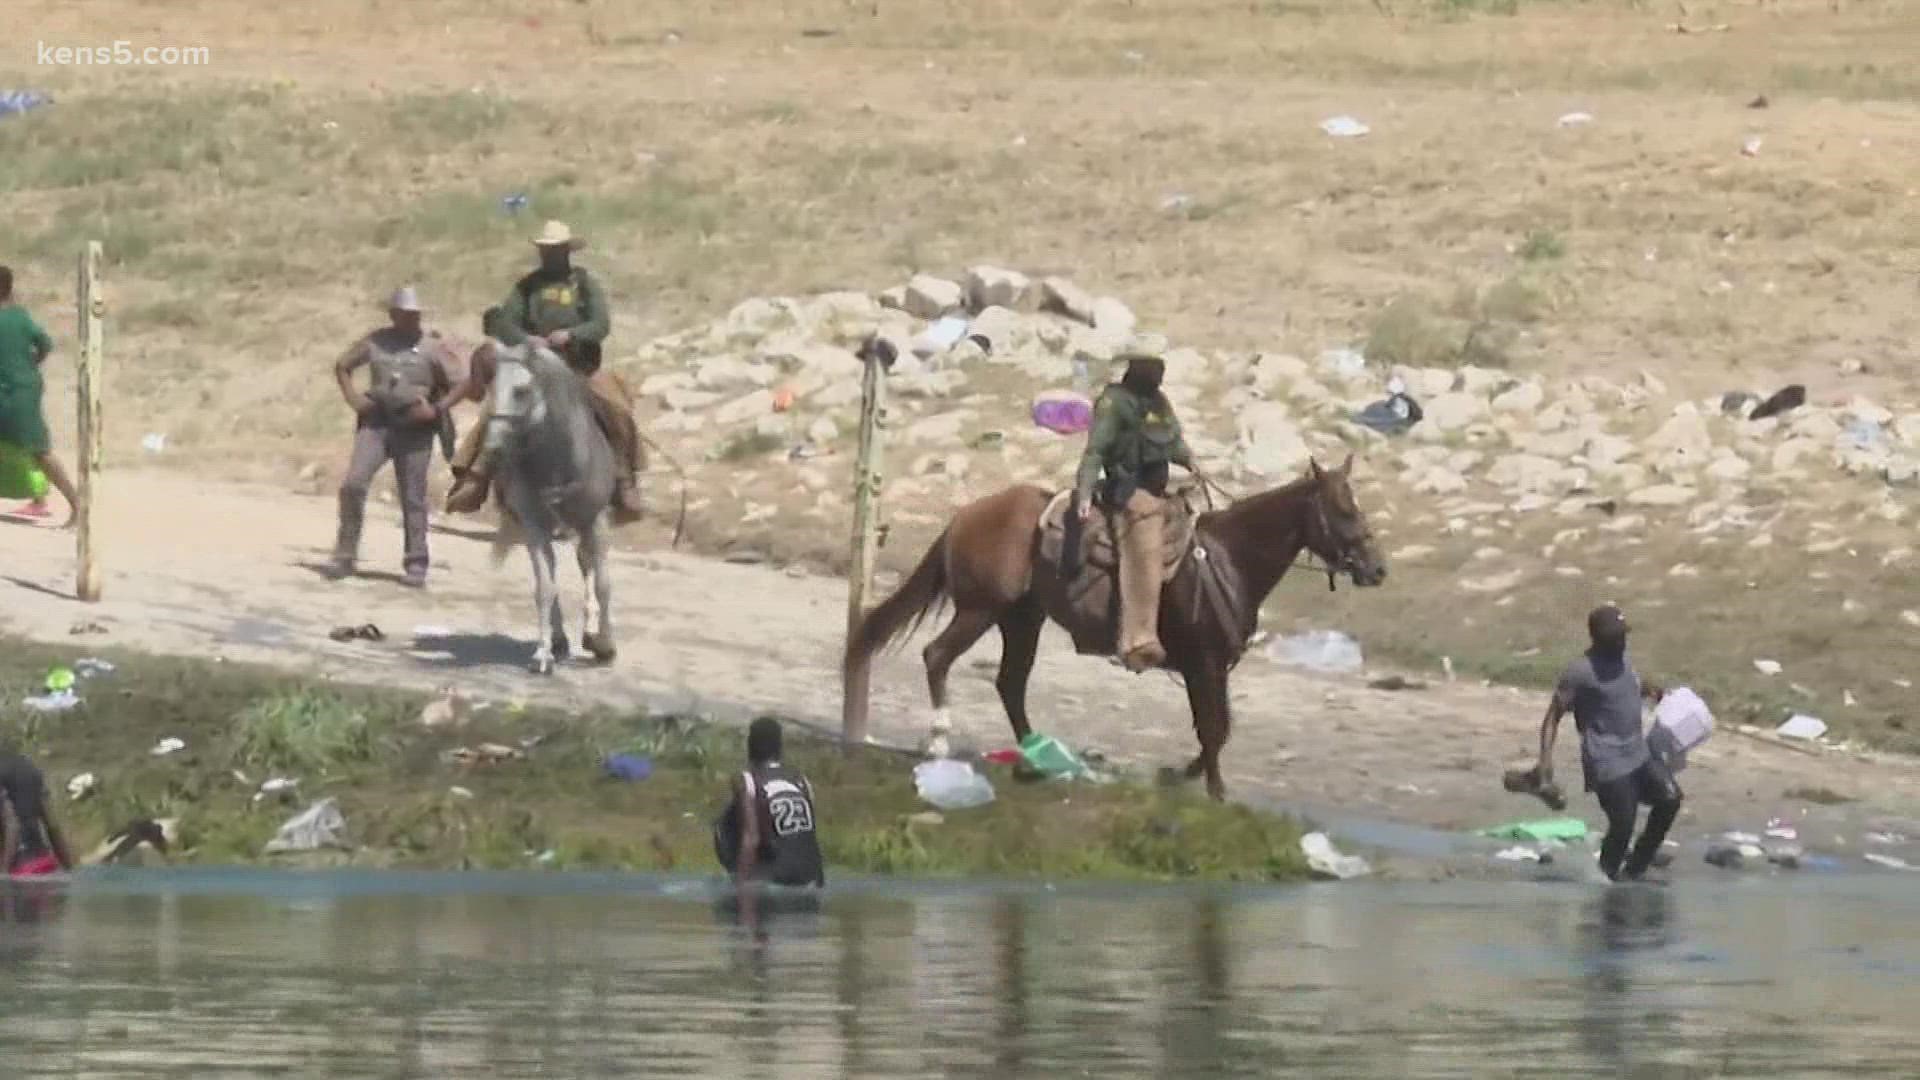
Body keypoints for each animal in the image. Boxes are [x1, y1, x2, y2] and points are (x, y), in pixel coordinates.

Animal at [487, 340, 614, 668]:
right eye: (491, 387)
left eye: (521, 391)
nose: (493, 448)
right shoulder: (535, 527)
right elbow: (545, 587)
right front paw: (543, 653)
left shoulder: (596, 521)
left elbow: (603, 584)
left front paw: (606, 646)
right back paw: (560, 641)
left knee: (587, 566)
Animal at [848, 453, 1390, 799]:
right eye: (1344, 509)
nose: (1377, 568)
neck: (1228, 559)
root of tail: (966, 514)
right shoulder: (1203, 661)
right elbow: (1214, 728)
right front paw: (1212, 788)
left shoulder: (1211, 665)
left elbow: (1218, 727)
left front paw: (1182, 774)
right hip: (981, 609)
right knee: (938, 656)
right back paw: (940, 739)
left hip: (1021, 618)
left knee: (1010, 683)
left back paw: (1037, 756)